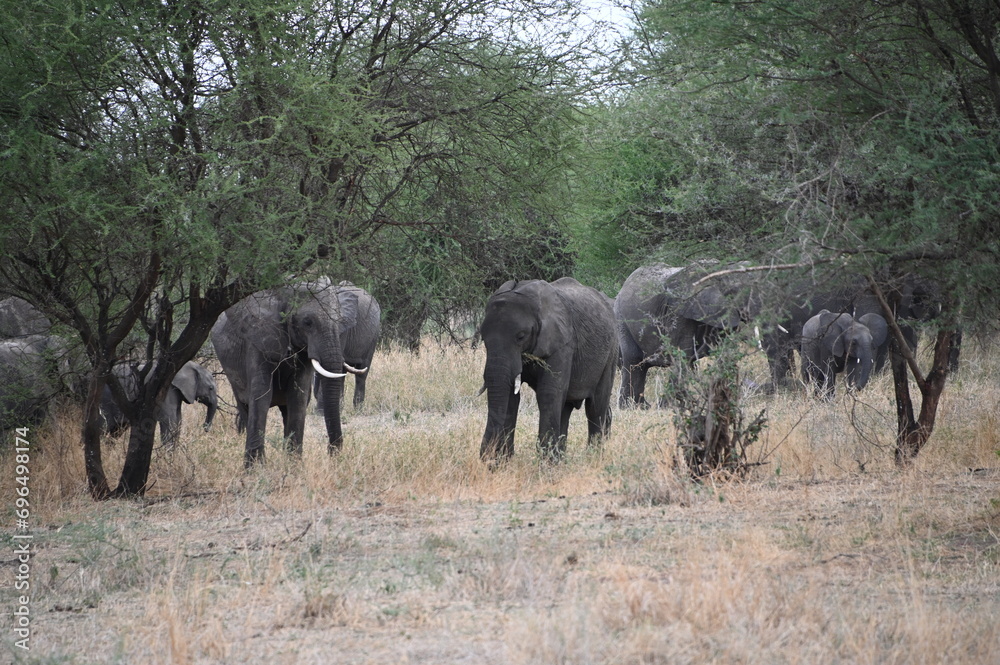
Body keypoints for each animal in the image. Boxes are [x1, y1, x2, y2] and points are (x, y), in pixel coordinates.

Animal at [212, 278, 368, 464]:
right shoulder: (258, 340)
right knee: (245, 405)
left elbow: (298, 398)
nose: (332, 452)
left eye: (339, 321)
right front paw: (256, 467)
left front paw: (293, 465)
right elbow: (261, 396)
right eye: (307, 322)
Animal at [478, 276, 616, 462]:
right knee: (565, 409)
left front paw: (544, 464)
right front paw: (504, 463)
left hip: (611, 352)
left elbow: (548, 393)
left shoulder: (563, 343)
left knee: (596, 408)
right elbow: (511, 396)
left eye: (521, 336)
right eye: (483, 338)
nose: (488, 458)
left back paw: (592, 458)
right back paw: (560, 461)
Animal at [612, 262, 760, 408]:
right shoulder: (679, 312)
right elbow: (682, 355)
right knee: (633, 359)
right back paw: (632, 407)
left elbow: (725, 355)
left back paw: (641, 406)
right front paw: (670, 407)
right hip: (621, 318)